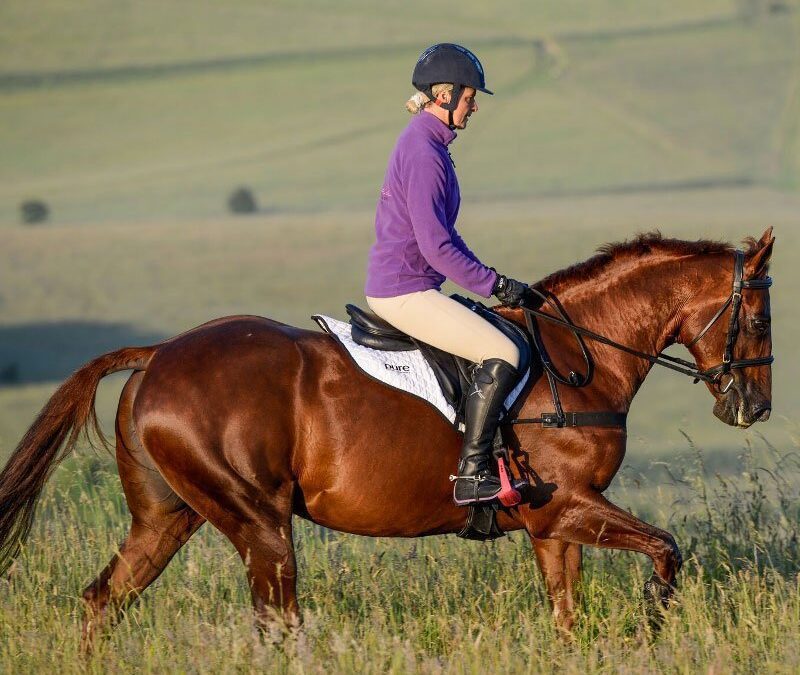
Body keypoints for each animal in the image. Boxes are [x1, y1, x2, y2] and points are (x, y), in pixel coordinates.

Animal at [0, 229, 774, 648]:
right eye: (762, 318)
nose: (755, 407)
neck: (576, 356)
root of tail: (158, 354)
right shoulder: (566, 505)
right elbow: (666, 551)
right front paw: (649, 627)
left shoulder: (552, 524)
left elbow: (567, 616)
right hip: (258, 520)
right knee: (276, 622)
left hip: (169, 517)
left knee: (103, 602)